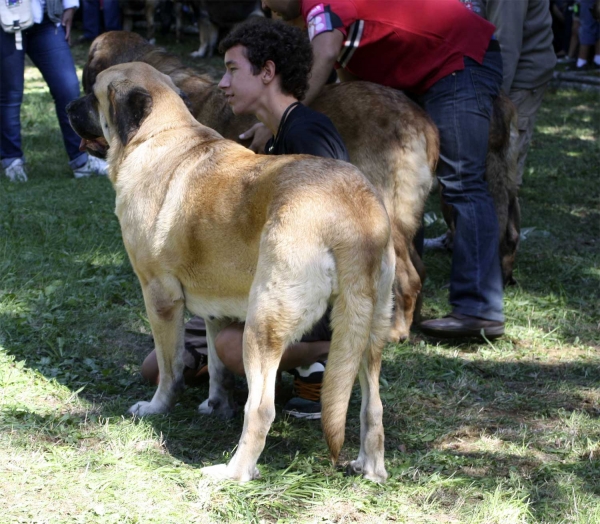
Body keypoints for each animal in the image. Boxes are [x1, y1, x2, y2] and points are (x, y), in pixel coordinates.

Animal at [67, 62, 394, 484]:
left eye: (93, 94)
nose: (69, 106)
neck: (159, 134)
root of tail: (353, 209)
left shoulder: (160, 297)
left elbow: (170, 367)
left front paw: (157, 408)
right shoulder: (215, 307)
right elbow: (217, 371)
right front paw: (216, 405)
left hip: (262, 327)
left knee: (261, 409)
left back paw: (233, 471)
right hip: (369, 330)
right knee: (373, 404)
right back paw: (370, 468)